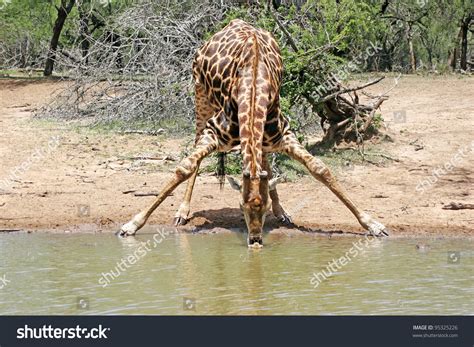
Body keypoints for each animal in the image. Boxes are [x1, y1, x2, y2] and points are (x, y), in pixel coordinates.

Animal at [119, 19, 388, 247]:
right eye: (240, 206)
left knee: (265, 161)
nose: (255, 240)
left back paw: (283, 212)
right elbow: (184, 167)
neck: (253, 85)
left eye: (264, 207)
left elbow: (320, 170)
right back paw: (182, 212)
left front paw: (373, 224)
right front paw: (131, 225)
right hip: (200, 97)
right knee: (196, 149)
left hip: (264, 137)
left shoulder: (284, 135)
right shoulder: (213, 132)